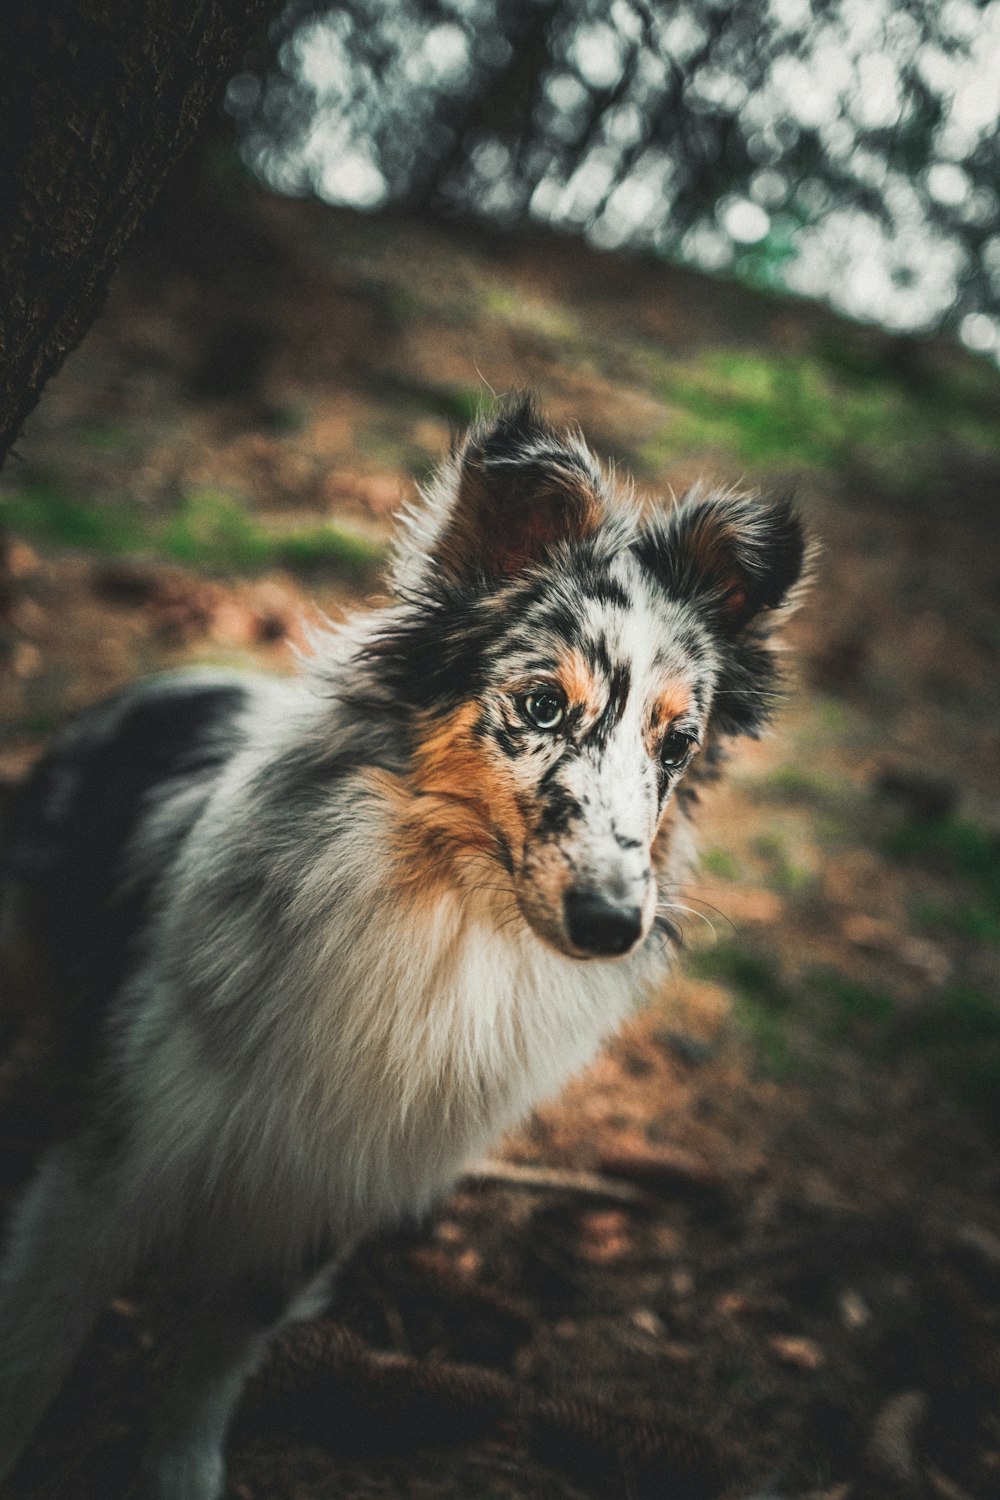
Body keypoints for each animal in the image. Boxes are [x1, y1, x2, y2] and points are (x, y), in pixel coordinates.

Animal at [0, 393, 809, 1494]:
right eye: (542, 704)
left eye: (678, 745)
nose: (611, 927)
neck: (447, 913)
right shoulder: (103, 1166)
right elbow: (37, 1353)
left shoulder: (324, 1185)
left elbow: (214, 1362)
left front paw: (179, 1472)